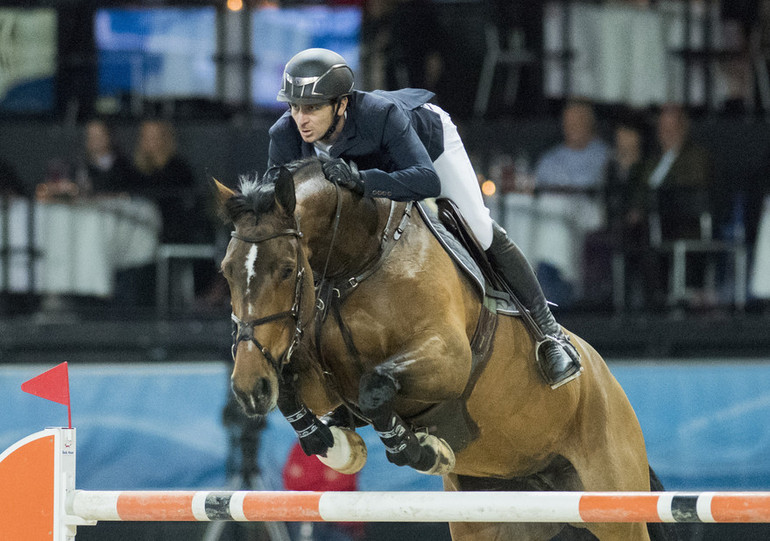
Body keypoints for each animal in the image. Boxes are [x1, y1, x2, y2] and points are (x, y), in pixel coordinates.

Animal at [213, 159, 656, 540]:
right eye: (226, 271)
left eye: (287, 269)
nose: (248, 388)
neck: (358, 262)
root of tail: (609, 382)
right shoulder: (323, 380)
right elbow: (293, 389)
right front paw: (329, 442)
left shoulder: (448, 359)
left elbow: (375, 386)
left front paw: (419, 449)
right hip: (491, 518)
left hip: (615, 507)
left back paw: (559, 355)